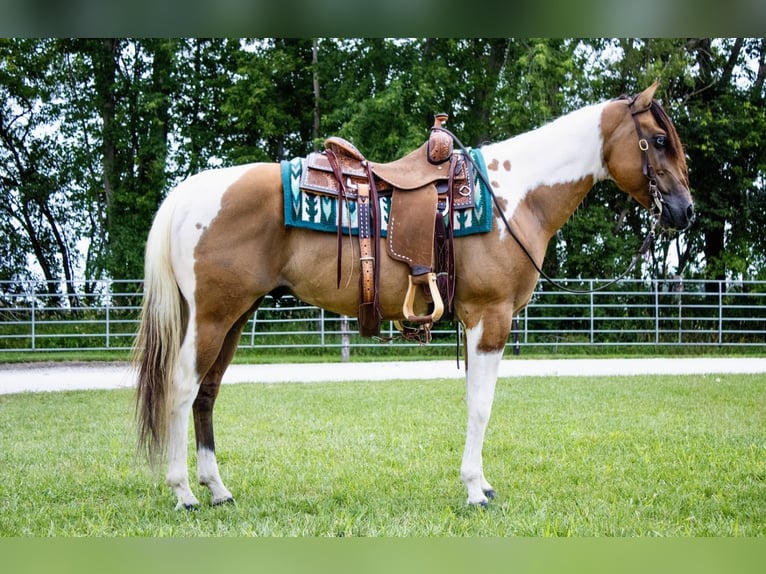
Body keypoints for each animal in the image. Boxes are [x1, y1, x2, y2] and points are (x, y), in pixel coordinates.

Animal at [134, 82, 694, 509]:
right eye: (659, 140)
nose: (685, 211)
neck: (515, 196)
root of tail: (188, 194)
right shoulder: (489, 319)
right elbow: (481, 405)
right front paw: (474, 490)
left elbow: (475, 400)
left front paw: (480, 482)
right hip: (212, 316)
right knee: (183, 388)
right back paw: (184, 493)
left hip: (235, 316)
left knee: (207, 394)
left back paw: (217, 489)